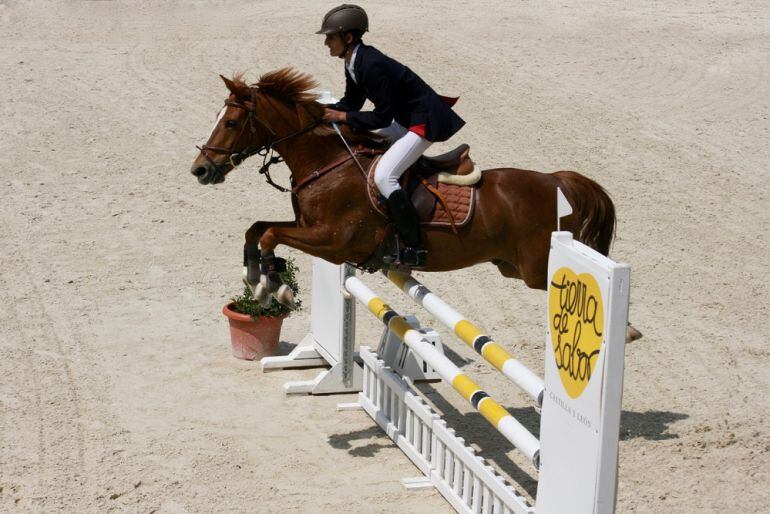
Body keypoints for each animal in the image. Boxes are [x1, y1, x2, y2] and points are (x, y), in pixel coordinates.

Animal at [190, 67, 616, 312]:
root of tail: (557, 180)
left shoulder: (334, 242)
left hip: (535, 269)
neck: (325, 161)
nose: (201, 170)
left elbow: (271, 236)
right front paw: (255, 279)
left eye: (230, 123)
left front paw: (274, 288)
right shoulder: (310, 228)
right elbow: (257, 229)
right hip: (511, 267)